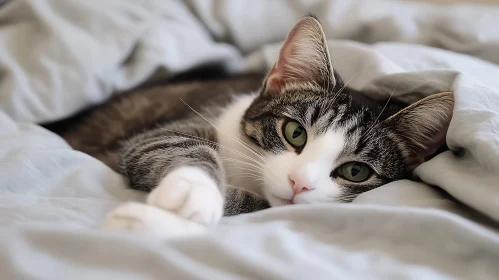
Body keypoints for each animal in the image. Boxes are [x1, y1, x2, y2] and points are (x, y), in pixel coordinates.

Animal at [59, 16, 458, 237]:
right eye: (295, 133)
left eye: (355, 171)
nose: (299, 183)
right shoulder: (185, 122)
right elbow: (168, 143)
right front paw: (193, 191)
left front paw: (148, 221)